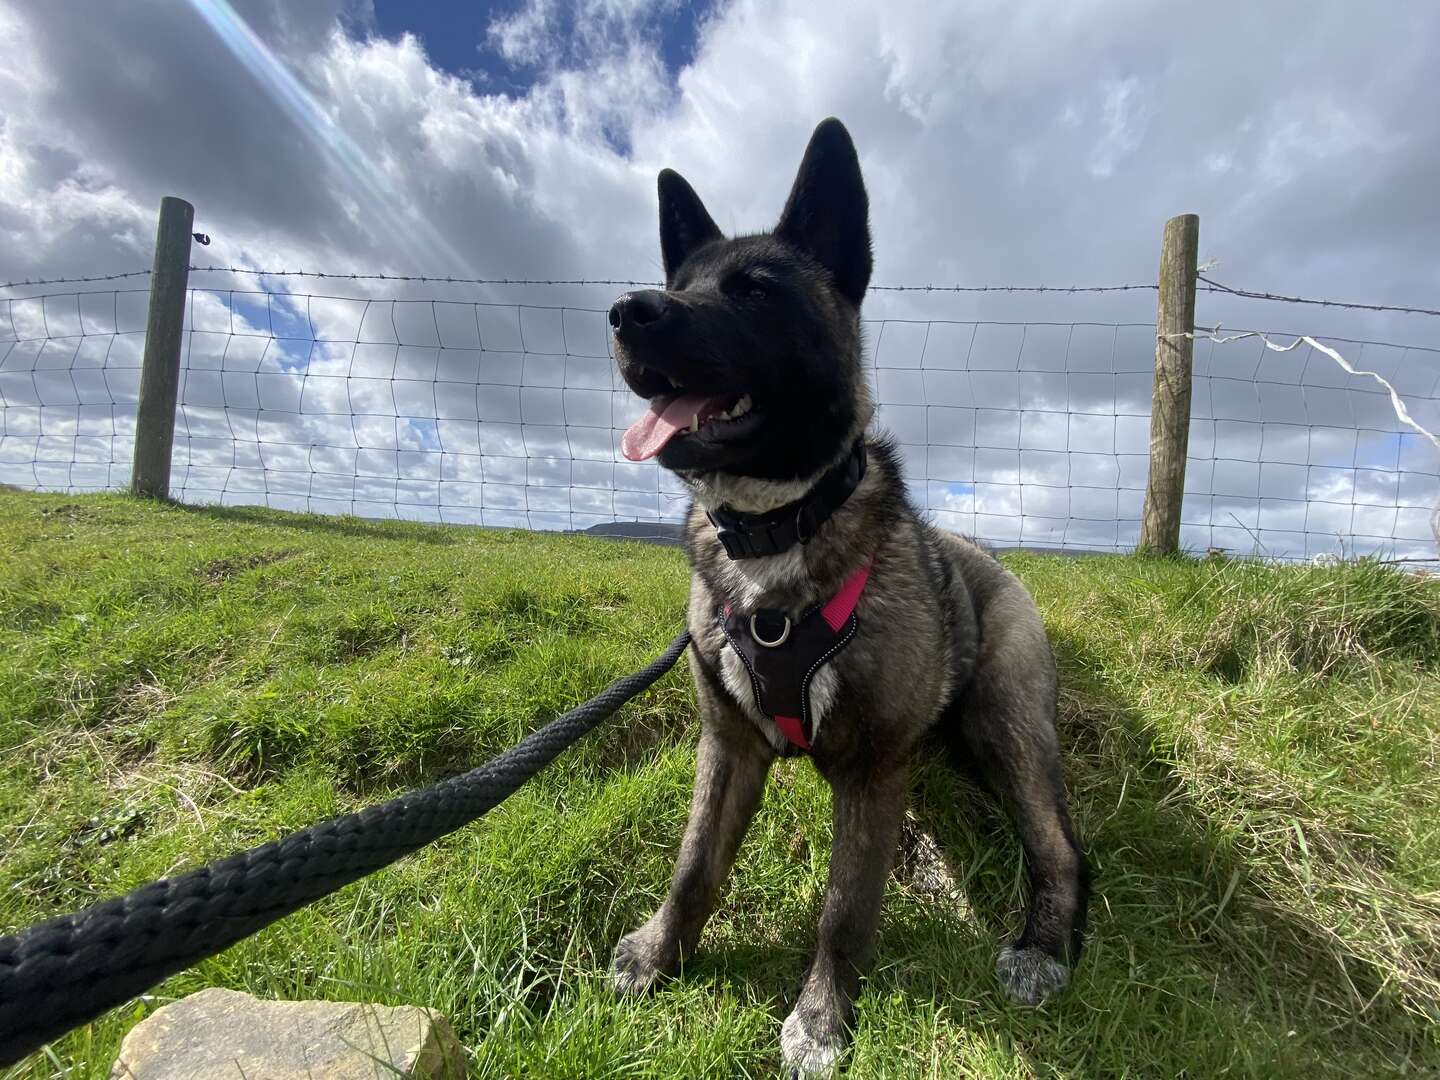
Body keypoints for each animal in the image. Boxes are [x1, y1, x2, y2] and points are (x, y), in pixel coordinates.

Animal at [606, 118, 1088, 1077]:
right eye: (680, 287)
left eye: (755, 292)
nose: (629, 312)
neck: (777, 534)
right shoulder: (728, 747)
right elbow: (693, 866)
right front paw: (658, 952)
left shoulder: (870, 774)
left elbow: (842, 912)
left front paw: (823, 1020)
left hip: (1007, 725)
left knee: (1059, 848)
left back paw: (1043, 946)